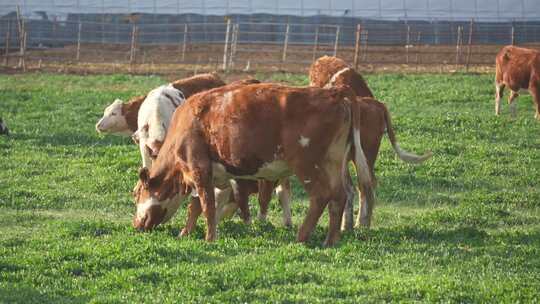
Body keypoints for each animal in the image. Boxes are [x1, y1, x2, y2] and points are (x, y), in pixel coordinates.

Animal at [310, 55, 432, 229]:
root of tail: (378, 106)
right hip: (364, 155)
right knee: (364, 184)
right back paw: (356, 223)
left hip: (366, 154)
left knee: (364, 184)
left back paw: (361, 223)